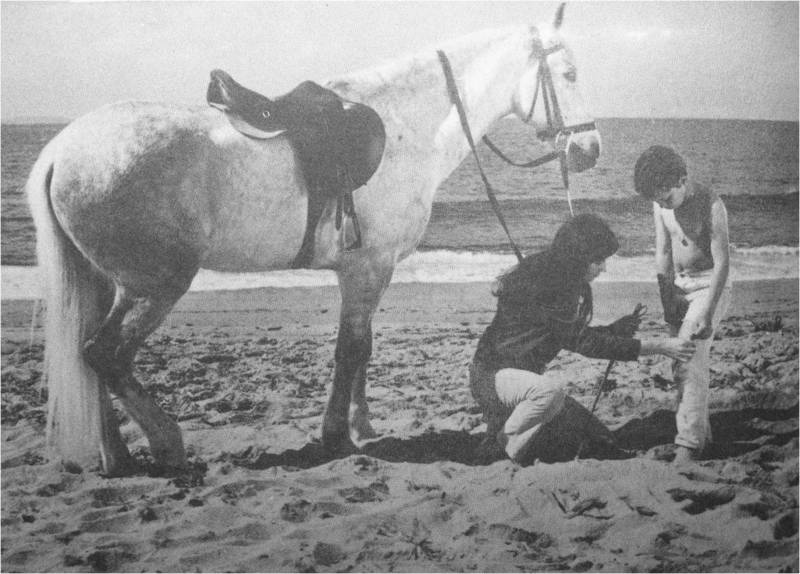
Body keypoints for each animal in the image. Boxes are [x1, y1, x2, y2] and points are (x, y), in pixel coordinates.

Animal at [27, 4, 601, 475]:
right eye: (569, 74)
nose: (591, 149)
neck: (407, 125)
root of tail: (60, 150)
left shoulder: (375, 270)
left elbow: (364, 347)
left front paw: (362, 427)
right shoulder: (367, 267)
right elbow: (351, 349)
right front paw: (336, 437)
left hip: (106, 282)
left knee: (87, 357)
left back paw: (117, 457)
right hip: (154, 285)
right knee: (106, 354)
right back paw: (167, 444)